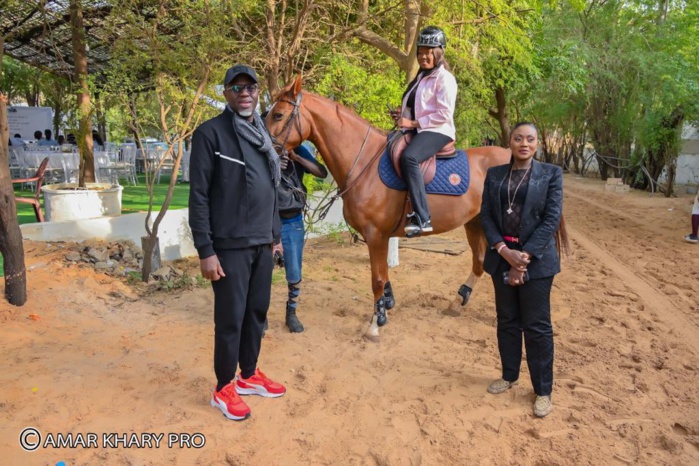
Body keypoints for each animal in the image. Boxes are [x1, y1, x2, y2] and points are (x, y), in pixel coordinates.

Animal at [266, 75, 512, 338]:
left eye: (278, 115)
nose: (267, 149)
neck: (364, 164)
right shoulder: (377, 236)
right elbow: (383, 275)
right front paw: (387, 304)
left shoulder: (376, 234)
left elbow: (377, 278)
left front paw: (376, 321)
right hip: (475, 223)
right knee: (479, 263)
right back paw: (457, 301)